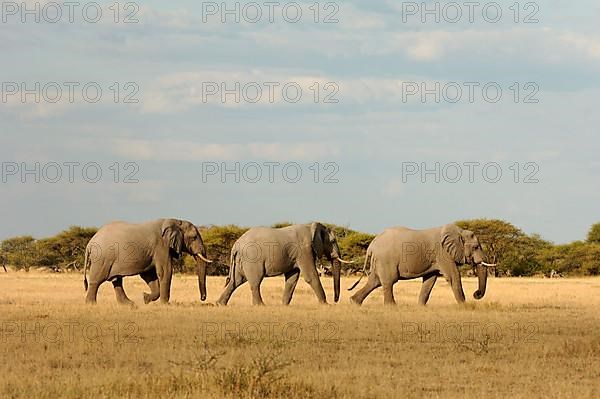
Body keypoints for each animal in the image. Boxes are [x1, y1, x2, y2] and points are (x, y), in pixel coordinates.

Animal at [83, 220, 212, 304]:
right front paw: (164, 304)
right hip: (102, 258)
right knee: (97, 280)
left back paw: (129, 305)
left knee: (116, 280)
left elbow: (149, 275)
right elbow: (165, 271)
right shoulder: (161, 246)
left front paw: (145, 298)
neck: (175, 221)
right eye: (194, 237)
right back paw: (91, 304)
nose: (202, 298)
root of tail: (90, 244)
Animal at [216, 222, 352, 306]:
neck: (310, 227)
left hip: (241, 261)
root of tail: (236, 244)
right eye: (333, 241)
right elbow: (310, 276)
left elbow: (292, 278)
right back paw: (260, 305)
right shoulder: (304, 250)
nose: (335, 300)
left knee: (236, 281)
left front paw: (284, 305)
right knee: (255, 281)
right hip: (252, 258)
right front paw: (325, 304)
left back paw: (219, 304)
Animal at [350, 225, 494, 306]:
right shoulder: (443, 254)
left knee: (374, 281)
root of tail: (372, 245)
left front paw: (421, 307)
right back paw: (392, 307)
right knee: (389, 281)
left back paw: (354, 302)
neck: (459, 231)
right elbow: (453, 277)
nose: (476, 294)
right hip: (386, 259)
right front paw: (464, 306)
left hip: (380, 261)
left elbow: (430, 280)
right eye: (476, 247)